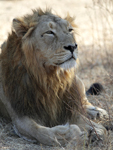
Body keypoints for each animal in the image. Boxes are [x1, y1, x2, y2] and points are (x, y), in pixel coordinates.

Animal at [0, 8, 108, 146]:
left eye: (70, 30)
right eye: (49, 32)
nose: (73, 46)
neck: (50, 78)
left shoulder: (67, 108)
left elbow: (100, 128)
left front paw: (95, 131)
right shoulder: (21, 116)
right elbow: (41, 132)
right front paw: (71, 133)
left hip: (76, 82)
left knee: (83, 101)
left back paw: (97, 111)